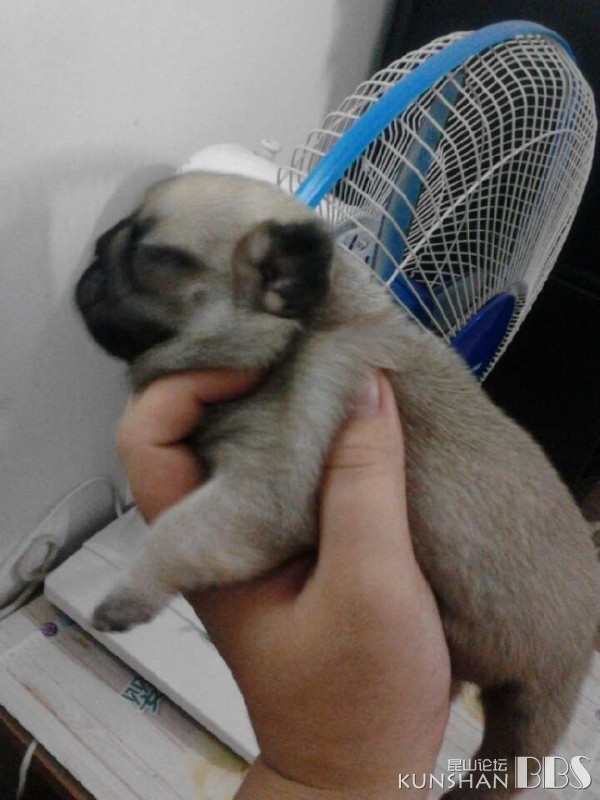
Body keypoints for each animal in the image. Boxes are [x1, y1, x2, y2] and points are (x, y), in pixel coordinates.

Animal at [76, 171, 599, 796]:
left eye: (150, 254)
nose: (93, 255)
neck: (308, 326)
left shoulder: (260, 491)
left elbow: (175, 535)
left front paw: (126, 596)